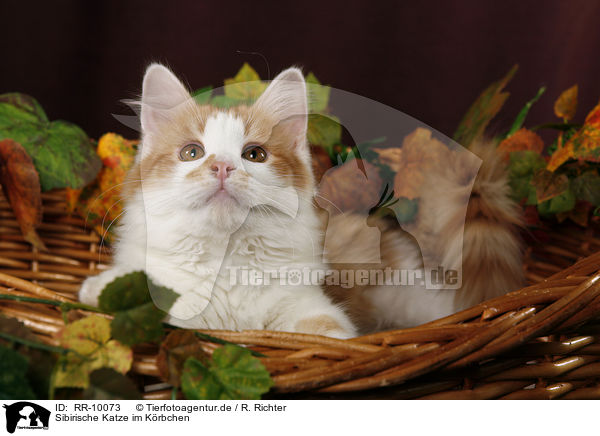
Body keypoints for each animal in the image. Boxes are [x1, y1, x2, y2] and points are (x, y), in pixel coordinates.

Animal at [77, 63, 524, 338]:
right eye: (192, 152)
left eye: (254, 154)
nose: (222, 166)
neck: (226, 263)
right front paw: (97, 290)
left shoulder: (315, 310)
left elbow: (327, 337)